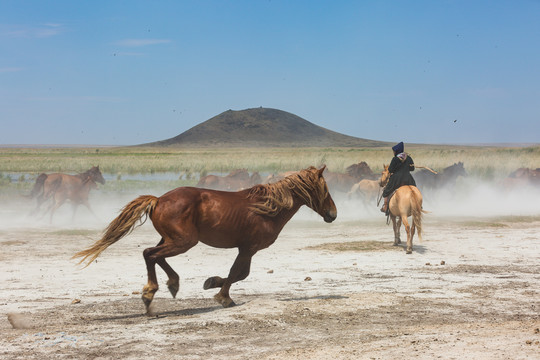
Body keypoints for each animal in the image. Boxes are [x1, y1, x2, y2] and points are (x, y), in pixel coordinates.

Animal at [74, 167, 338, 310]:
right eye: (325, 190)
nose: (333, 214)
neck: (268, 208)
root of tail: (158, 200)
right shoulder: (248, 249)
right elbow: (237, 273)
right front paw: (223, 296)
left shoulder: (246, 249)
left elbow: (240, 274)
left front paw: (211, 283)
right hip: (183, 242)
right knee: (149, 254)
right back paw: (151, 293)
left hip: (172, 240)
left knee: (155, 256)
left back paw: (171, 285)